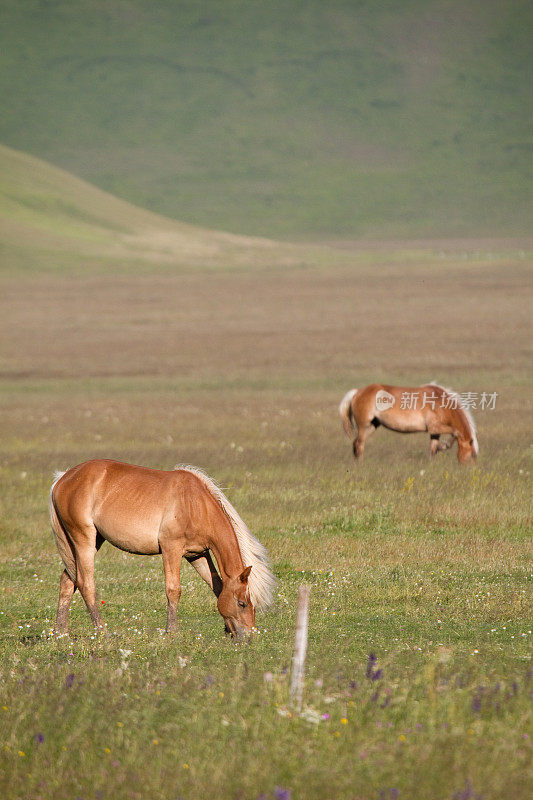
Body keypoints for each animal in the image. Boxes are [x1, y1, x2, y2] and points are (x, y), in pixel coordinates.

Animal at [48, 460, 278, 640]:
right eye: (241, 603)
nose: (247, 638)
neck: (195, 504)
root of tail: (63, 478)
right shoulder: (171, 549)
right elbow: (173, 590)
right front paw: (173, 632)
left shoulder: (198, 555)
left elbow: (218, 587)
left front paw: (226, 630)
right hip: (83, 541)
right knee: (86, 584)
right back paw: (102, 632)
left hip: (91, 542)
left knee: (68, 580)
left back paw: (61, 633)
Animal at [340, 382, 478, 462]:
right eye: (471, 455)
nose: (466, 469)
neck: (440, 401)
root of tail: (358, 391)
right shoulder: (435, 427)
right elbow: (456, 432)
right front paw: (444, 446)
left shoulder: (434, 432)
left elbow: (432, 449)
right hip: (364, 426)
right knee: (359, 444)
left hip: (372, 425)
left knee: (356, 443)